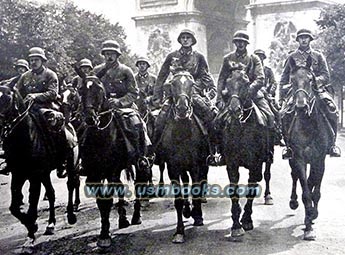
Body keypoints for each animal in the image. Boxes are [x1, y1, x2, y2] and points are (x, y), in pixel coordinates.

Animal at [0, 85, 78, 253]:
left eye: (7, 97)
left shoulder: (34, 176)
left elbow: (32, 203)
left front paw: (31, 231)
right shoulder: (18, 175)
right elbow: (14, 207)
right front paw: (31, 227)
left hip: (71, 162)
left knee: (71, 185)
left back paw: (70, 215)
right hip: (45, 174)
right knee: (51, 193)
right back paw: (50, 224)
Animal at [77, 75, 148, 249]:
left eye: (100, 89)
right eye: (81, 90)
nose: (90, 118)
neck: (100, 138)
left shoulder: (111, 171)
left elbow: (108, 200)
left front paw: (105, 235)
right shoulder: (94, 175)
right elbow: (101, 202)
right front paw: (104, 231)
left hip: (138, 164)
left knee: (138, 185)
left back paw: (136, 216)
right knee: (120, 187)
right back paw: (123, 219)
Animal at [157, 70, 208, 243]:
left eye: (191, 85)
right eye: (173, 84)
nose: (182, 109)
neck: (182, 132)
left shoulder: (195, 165)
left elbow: (196, 190)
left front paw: (197, 215)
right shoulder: (173, 167)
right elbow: (178, 199)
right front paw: (179, 231)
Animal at [219, 67, 268, 237]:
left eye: (246, 82)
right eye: (227, 82)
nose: (234, 110)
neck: (242, 127)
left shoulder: (255, 164)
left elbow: (251, 189)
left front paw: (246, 220)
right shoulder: (232, 164)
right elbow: (233, 190)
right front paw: (235, 225)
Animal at [280, 56, 334, 240]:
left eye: (310, 79)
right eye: (292, 80)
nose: (301, 106)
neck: (308, 125)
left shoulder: (319, 160)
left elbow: (315, 190)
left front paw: (312, 216)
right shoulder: (298, 158)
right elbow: (305, 192)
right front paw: (308, 223)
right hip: (291, 158)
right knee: (295, 176)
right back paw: (294, 202)